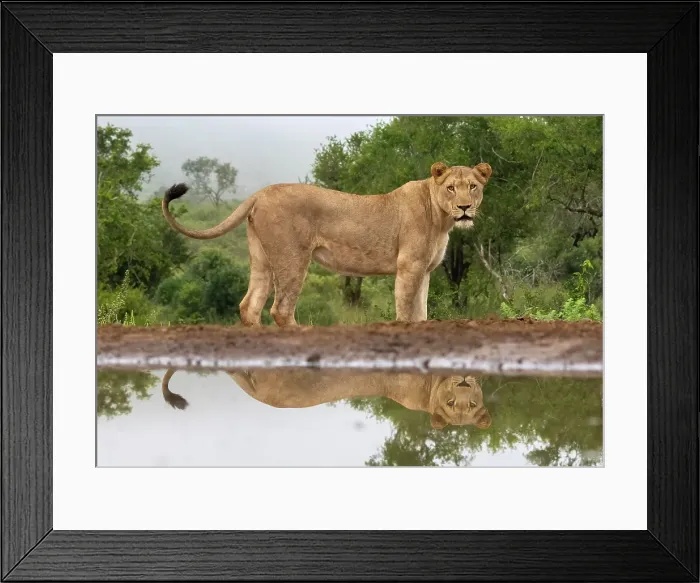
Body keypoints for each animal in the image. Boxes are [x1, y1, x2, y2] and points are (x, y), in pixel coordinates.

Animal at [162, 161, 492, 327]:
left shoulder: (425, 270)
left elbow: (421, 311)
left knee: (250, 305)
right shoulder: (408, 266)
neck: (441, 218)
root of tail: (261, 192)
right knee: (281, 309)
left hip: (261, 258)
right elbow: (406, 311)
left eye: (473, 187)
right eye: (451, 188)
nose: (464, 208)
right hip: (293, 258)